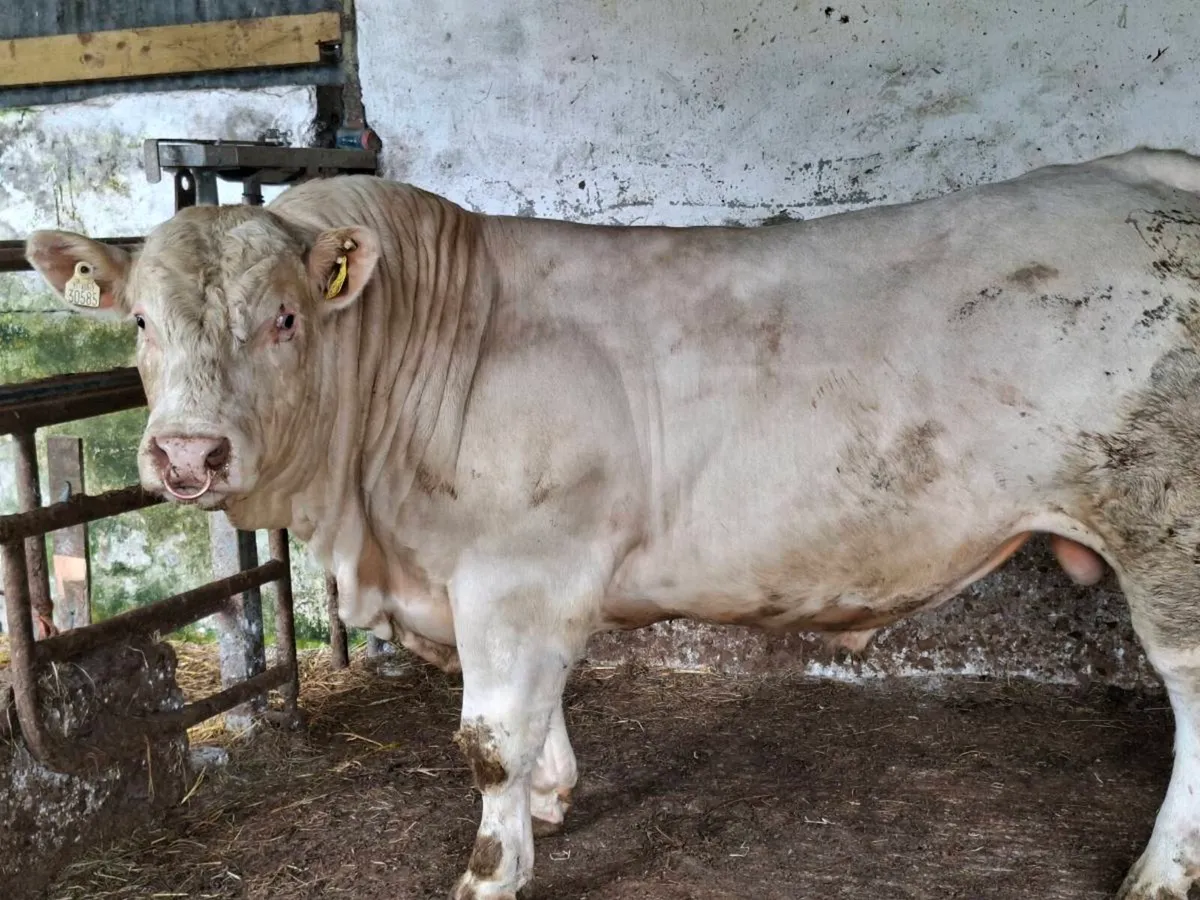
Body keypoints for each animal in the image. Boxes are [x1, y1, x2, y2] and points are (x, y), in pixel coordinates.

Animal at [24, 146, 1200, 900]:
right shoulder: (500, 582)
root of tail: (1148, 167)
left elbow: (489, 739)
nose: (187, 456)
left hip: (1169, 534)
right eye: (140, 322)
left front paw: (490, 869)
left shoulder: (518, 571)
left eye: (285, 318)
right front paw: (549, 803)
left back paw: (1159, 873)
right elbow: (535, 716)